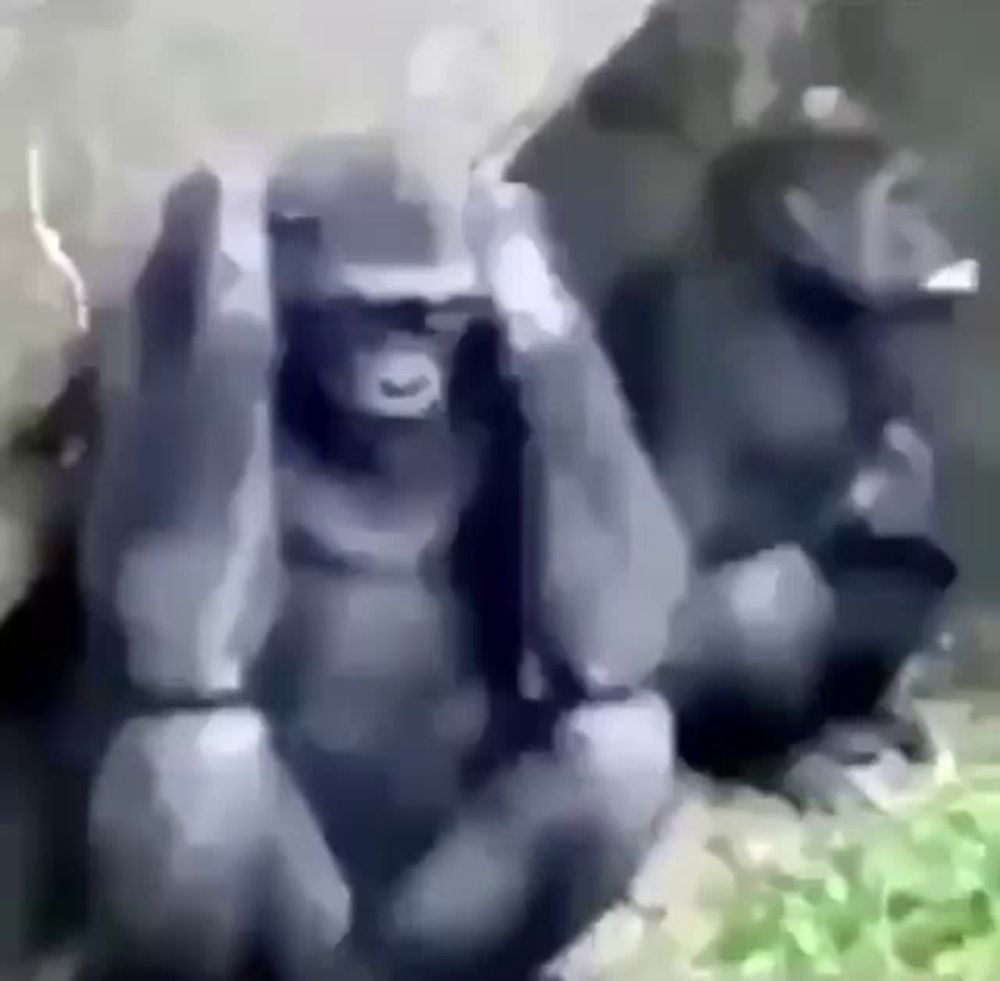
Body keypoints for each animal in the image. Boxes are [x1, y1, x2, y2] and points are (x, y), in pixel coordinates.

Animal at [74, 138, 692, 980]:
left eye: (436, 321)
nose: (403, 382)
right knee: (199, 756)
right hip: (319, 947)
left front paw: (512, 244)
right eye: (367, 317)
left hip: (424, 945)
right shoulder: (155, 306)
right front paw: (235, 247)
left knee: (617, 742)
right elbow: (165, 605)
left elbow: (625, 612)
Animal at [596, 92, 972, 800]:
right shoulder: (698, 324)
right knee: (769, 594)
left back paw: (855, 725)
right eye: (897, 198)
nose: (938, 236)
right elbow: (692, 537)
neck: (778, 283)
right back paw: (771, 758)